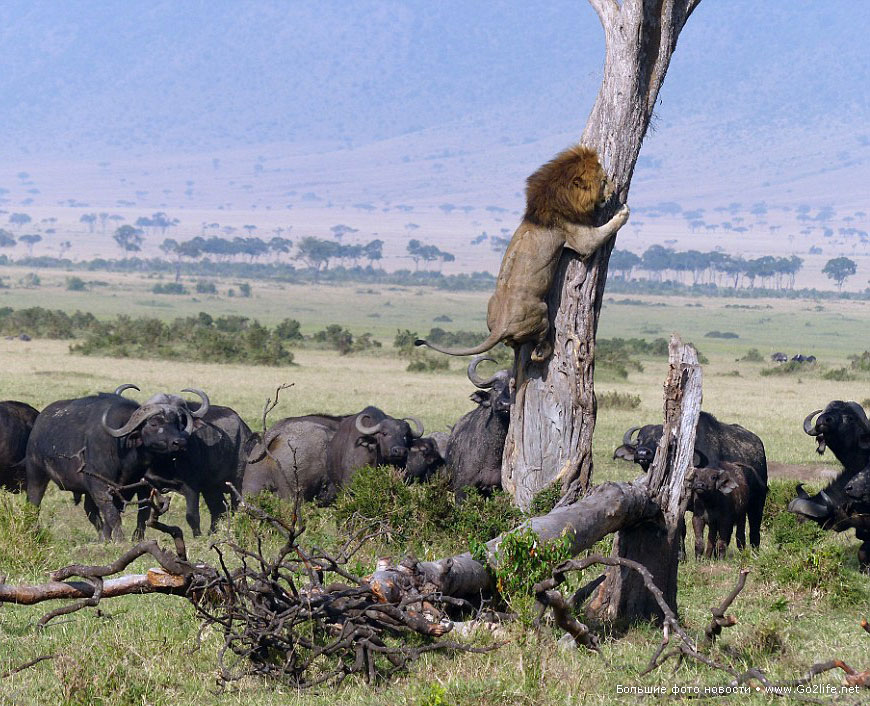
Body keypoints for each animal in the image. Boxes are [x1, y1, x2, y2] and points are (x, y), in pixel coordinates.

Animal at [26, 390, 195, 540]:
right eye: (153, 423)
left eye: (178, 424)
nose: (180, 442)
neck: (123, 450)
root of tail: (39, 421)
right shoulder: (99, 485)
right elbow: (112, 514)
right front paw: (120, 539)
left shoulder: (126, 488)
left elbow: (112, 514)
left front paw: (107, 539)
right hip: (36, 473)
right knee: (34, 502)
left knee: (91, 511)